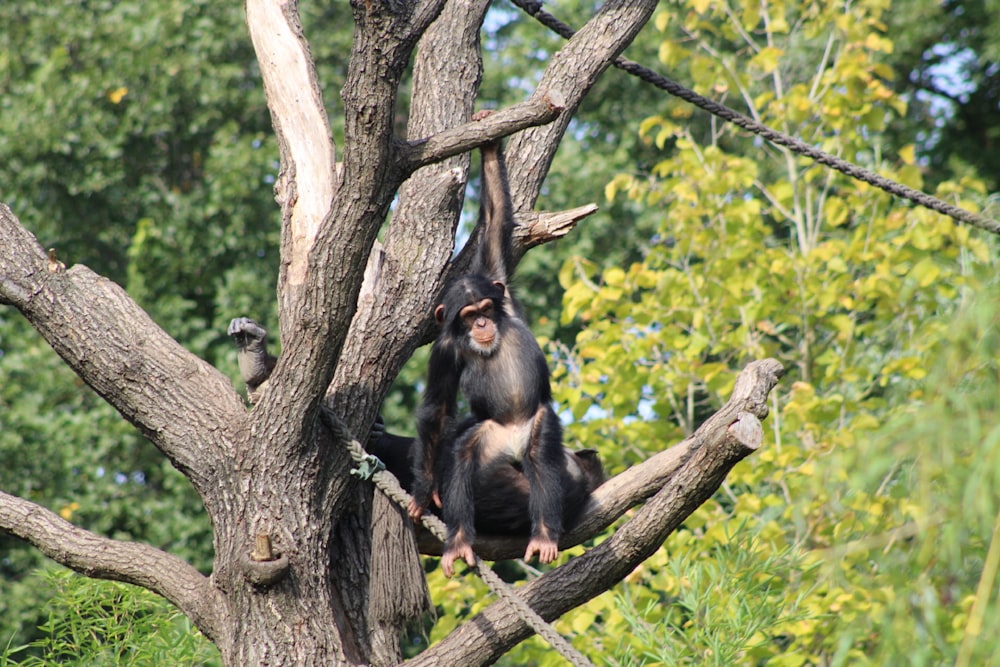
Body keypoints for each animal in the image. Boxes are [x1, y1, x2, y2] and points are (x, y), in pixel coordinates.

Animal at [406, 113, 584, 576]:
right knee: (462, 456)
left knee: (542, 462)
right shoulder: (443, 352)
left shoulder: (498, 282)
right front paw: (422, 491)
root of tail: (513, 441)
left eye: (486, 306)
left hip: (538, 425)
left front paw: (487, 146)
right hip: (489, 438)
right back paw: (459, 541)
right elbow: (438, 410)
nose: (484, 321)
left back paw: (543, 534)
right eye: (468, 315)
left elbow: (497, 217)